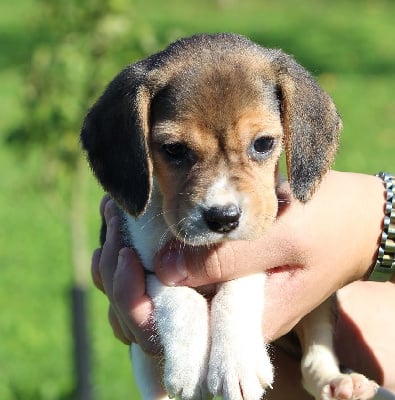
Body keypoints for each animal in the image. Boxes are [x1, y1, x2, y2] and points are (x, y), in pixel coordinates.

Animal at [81, 33, 380, 400]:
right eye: (174, 150)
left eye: (263, 143)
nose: (223, 218)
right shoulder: (134, 255)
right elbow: (179, 294)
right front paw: (190, 364)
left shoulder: (260, 250)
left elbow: (236, 288)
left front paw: (235, 362)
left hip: (324, 301)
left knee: (315, 358)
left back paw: (338, 382)